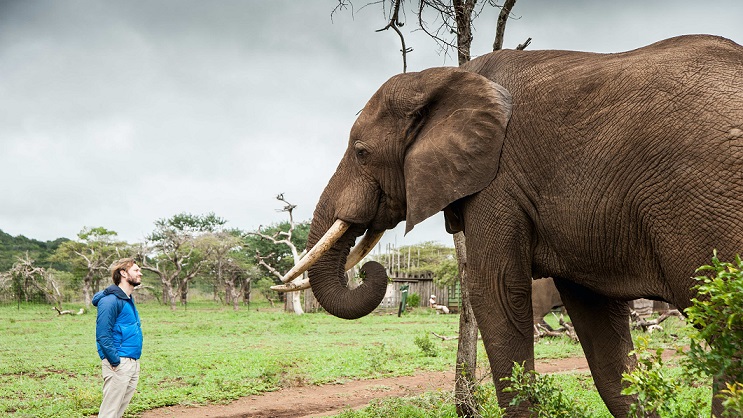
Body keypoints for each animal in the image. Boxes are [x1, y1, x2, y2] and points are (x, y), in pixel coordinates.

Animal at [281, 35, 743, 416]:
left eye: (361, 152)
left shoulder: (498, 182)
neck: (443, 77)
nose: (373, 271)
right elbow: (598, 325)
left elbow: (497, 292)